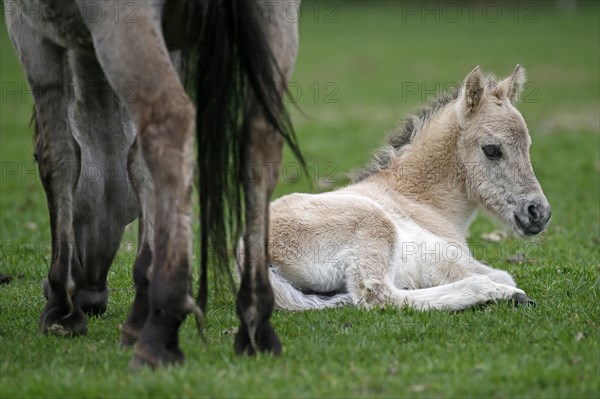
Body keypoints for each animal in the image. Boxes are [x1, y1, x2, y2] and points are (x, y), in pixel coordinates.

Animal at [240, 65, 552, 310]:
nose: (539, 212)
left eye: (528, 146)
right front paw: (505, 291)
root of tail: (247, 253)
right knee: (377, 295)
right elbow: (498, 275)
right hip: (374, 225)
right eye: (492, 150)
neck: (417, 200)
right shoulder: (441, 258)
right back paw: (498, 294)